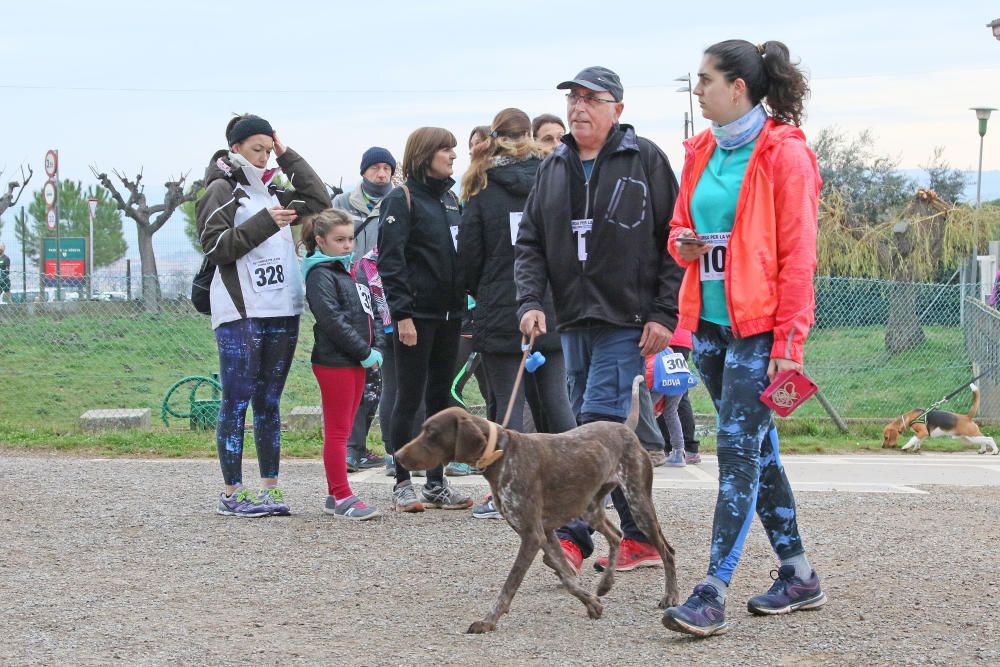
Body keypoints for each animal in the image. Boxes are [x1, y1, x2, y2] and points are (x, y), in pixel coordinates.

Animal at [392, 378, 680, 636]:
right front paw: (592, 603)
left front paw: (488, 621)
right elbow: (567, 577)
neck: (502, 453)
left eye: (432, 434)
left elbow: (510, 585)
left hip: (638, 503)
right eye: (423, 429)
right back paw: (606, 584)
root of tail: (626, 429)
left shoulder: (532, 535)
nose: (397, 455)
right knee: (615, 535)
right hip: (589, 507)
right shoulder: (546, 533)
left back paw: (671, 597)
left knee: (666, 551)